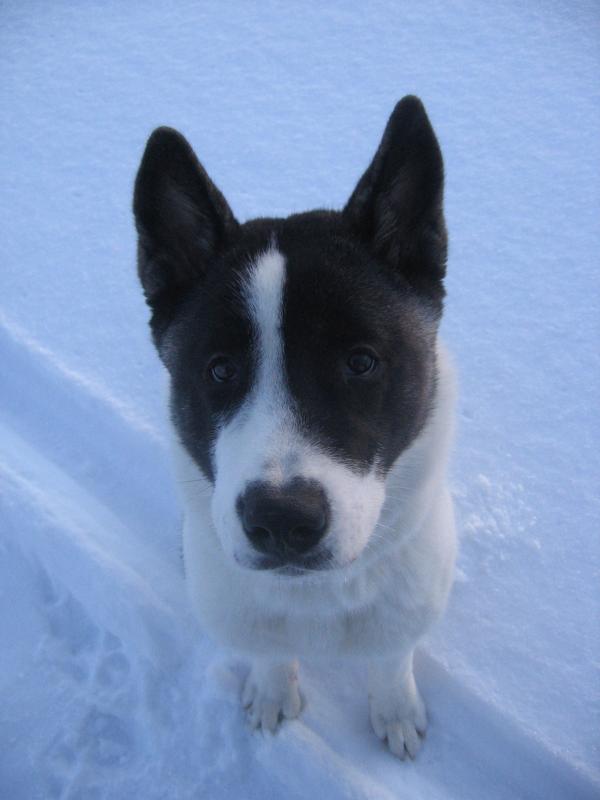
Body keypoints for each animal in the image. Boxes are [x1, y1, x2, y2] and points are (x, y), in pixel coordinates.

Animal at [134, 97, 458, 760]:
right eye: (220, 369)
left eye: (361, 362)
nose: (282, 521)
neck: (320, 600)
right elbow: (268, 651)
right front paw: (272, 691)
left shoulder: (405, 610)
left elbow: (392, 658)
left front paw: (395, 709)